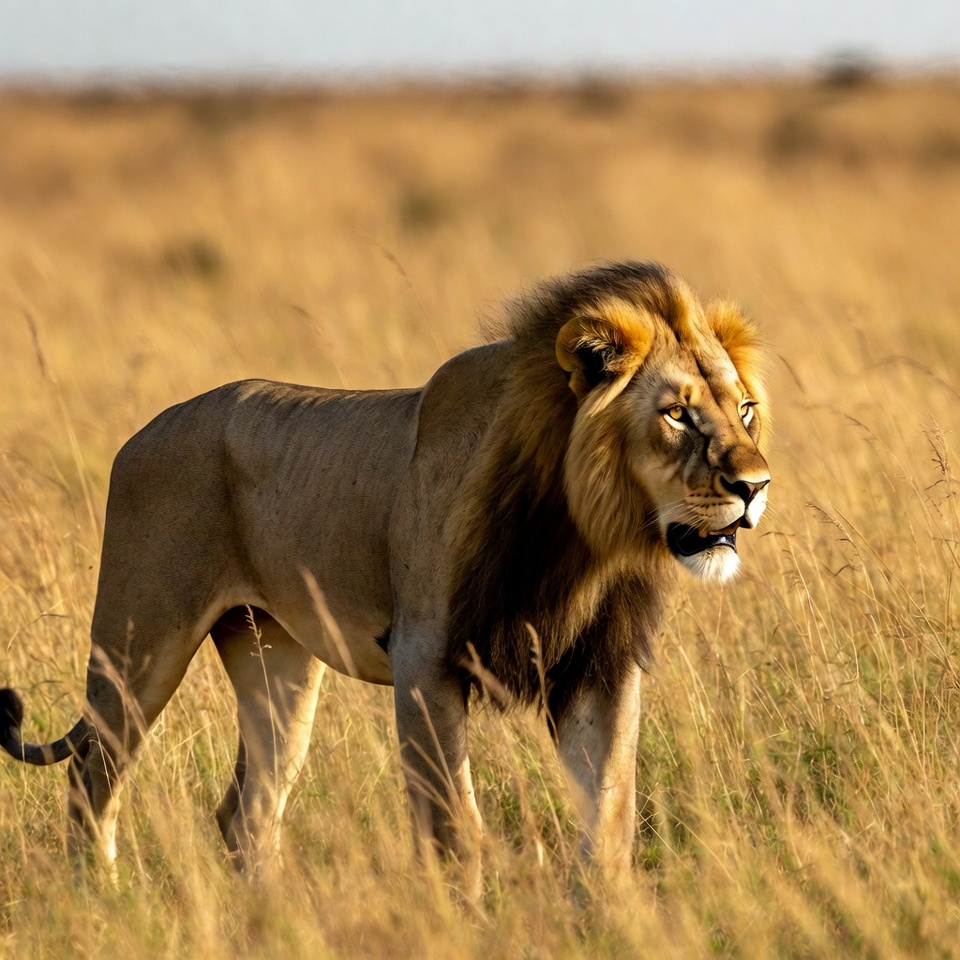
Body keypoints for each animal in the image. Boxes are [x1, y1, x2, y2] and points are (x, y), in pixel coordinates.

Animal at [0, 261, 770, 882]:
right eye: (677, 416)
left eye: (745, 409)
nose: (755, 486)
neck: (579, 536)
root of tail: (142, 432)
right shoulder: (424, 658)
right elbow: (454, 826)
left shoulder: (597, 665)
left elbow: (608, 811)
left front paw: (602, 913)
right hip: (140, 645)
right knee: (91, 778)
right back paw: (101, 897)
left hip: (273, 657)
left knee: (246, 809)